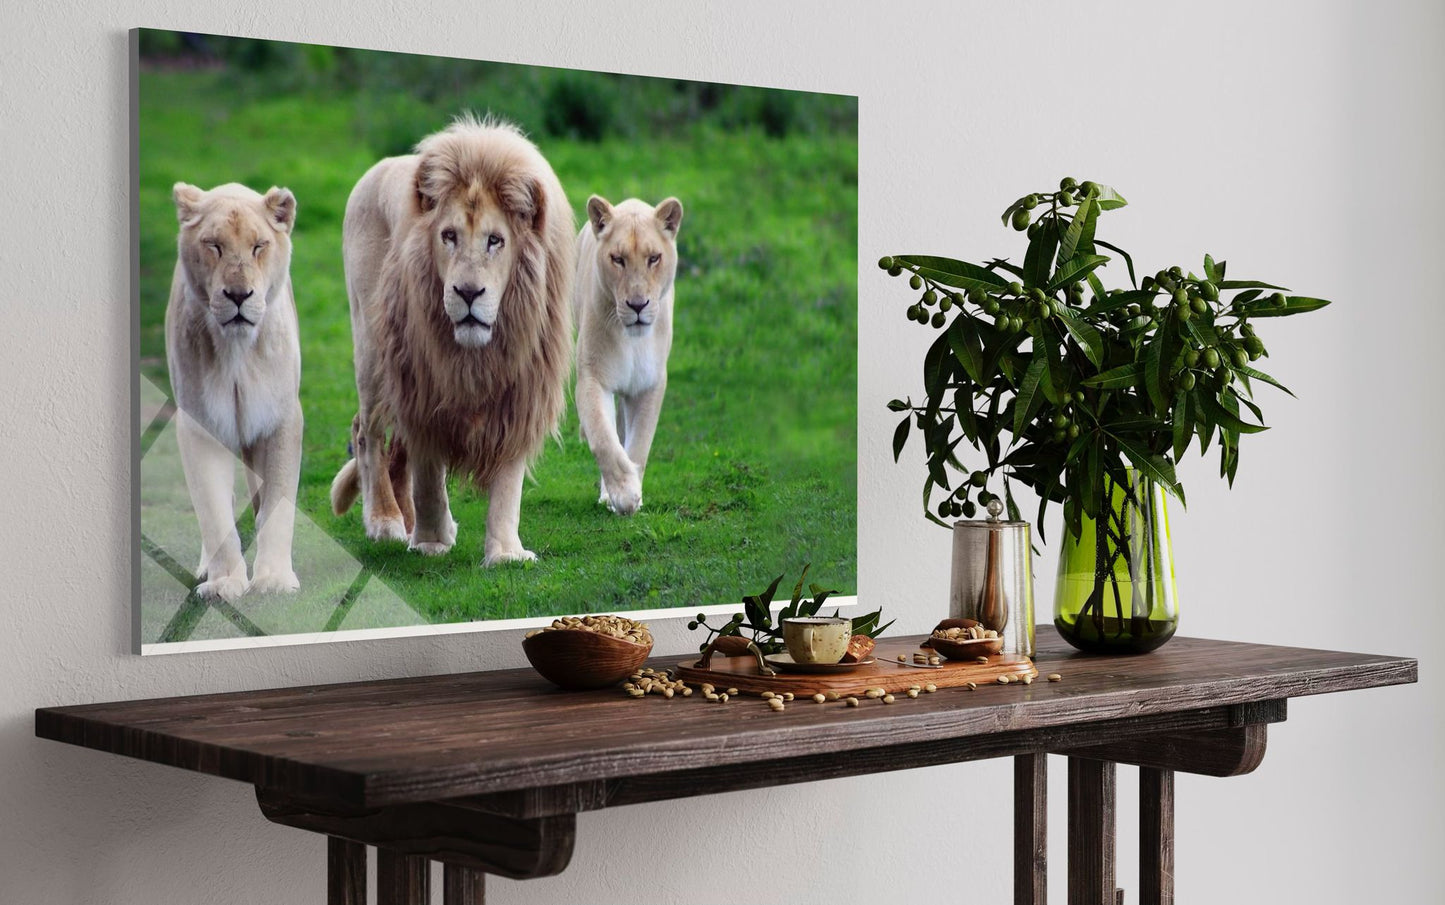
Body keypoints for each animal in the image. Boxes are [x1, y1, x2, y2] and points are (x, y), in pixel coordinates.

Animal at [165, 182, 303, 600]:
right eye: (214, 245)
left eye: (259, 246)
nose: (239, 295)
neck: (237, 350)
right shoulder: (199, 425)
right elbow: (212, 509)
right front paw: (224, 582)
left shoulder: (279, 420)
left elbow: (277, 504)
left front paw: (274, 579)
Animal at [329, 117, 574, 565]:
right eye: (448, 236)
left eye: (495, 240)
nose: (468, 292)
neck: (477, 354)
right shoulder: (422, 389)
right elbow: (428, 475)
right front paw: (430, 542)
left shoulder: (521, 392)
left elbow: (507, 483)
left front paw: (505, 553)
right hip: (372, 351)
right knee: (367, 434)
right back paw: (386, 521)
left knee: (395, 450)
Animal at [572, 194, 684, 515]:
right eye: (618, 259)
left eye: (654, 258)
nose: (637, 305)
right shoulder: (593, 378)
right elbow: (603, 439)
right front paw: (623, 494)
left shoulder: (650, 384)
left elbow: (639, 444)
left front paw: (633, 495)